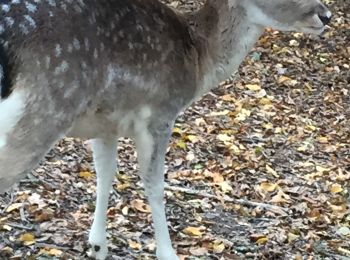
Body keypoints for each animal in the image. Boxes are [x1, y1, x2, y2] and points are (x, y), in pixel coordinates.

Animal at [0, 0, 330, 258]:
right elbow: (155, 184)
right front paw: (167, 253)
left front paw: (97, 246)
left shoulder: (106, 122)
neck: (199, 58)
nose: (325, 15)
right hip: (40, 116)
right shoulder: (160, 113)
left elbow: (105, 174)